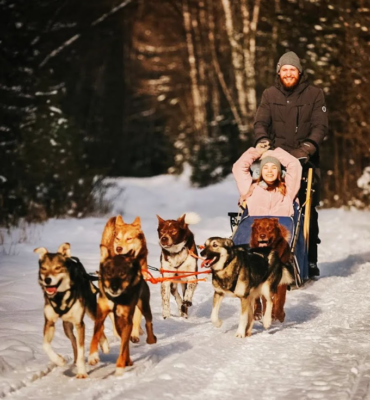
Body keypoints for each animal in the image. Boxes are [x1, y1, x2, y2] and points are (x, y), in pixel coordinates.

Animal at [88, 247, 156, 376]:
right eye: (109, 273)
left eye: (122, 274)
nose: (114, 288)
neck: (116, 299)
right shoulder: (100, 315)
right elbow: (95, 335)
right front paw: (93, 356)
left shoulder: (127, 319)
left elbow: (123, 346)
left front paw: (119, 367)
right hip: (118, 323)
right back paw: (128, 360)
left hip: (143, 305)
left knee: (148, 322)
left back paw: (151, 339)